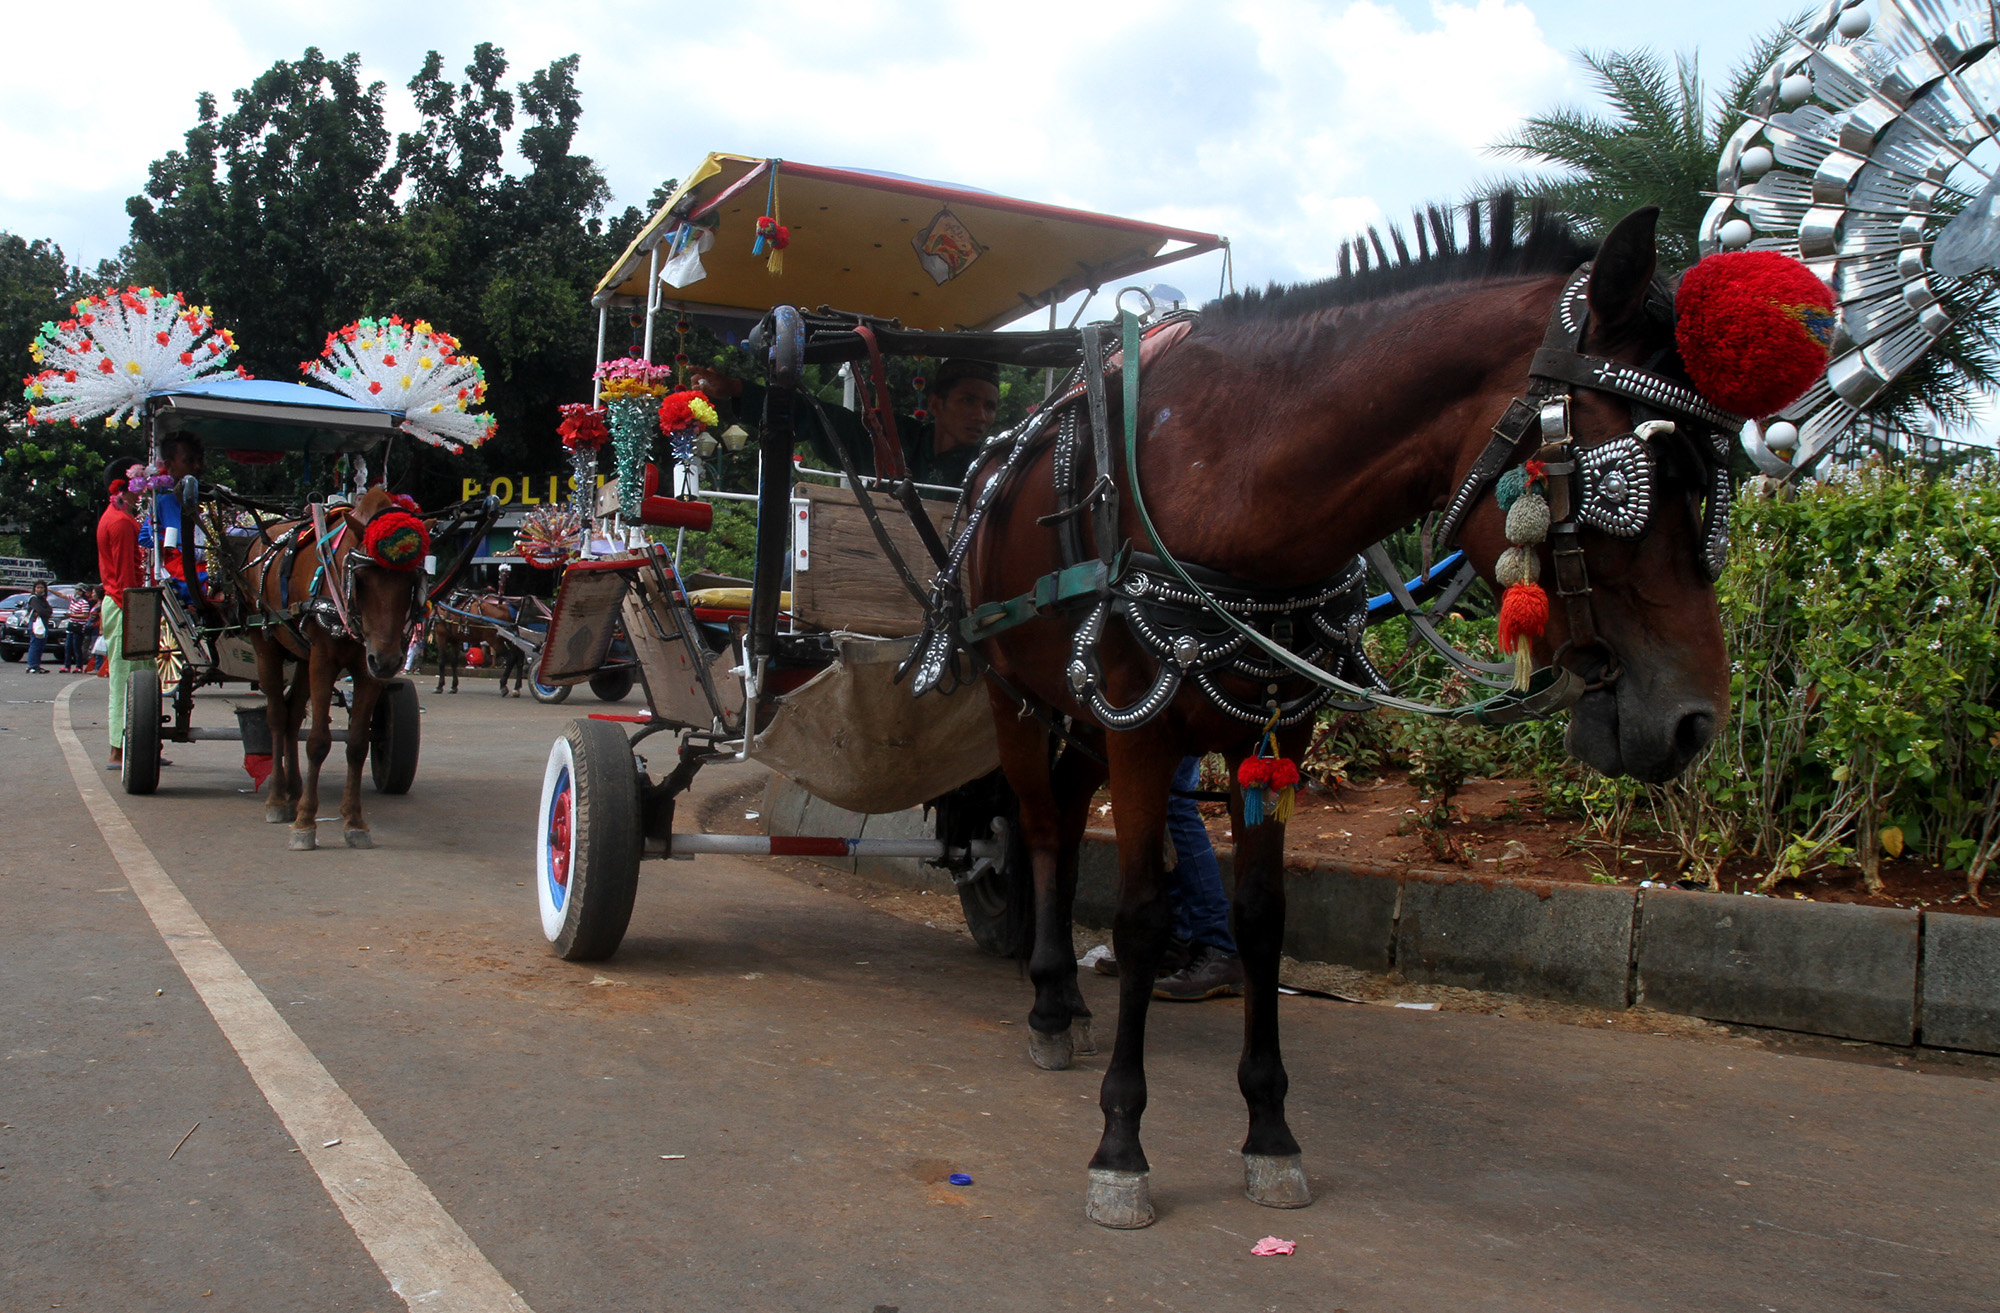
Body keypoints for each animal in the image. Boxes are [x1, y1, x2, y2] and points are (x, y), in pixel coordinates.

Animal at [235, 490, 430, 852]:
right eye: (362, 580)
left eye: (412, 581)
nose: (388, 661)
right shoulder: (324, 660)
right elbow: (318, 742)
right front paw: (305, 822)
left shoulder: (367, 668)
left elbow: (357, 744)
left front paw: (354, 820)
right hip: (266, 643)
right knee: (277, 717)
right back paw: (277, 798)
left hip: (302, 656)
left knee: (293, 715)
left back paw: (295, 789)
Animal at [960, 200, 1728, 1224]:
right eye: (1624, 483)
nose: (1695, 720)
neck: (1229, 470)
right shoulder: (1147, 729)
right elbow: (1141, 917)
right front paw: (1121, 1145)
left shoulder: (1279, 728)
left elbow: (1262, 918)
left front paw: (1269, 1132)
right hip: (1012, 687)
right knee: (1042, 828)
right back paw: (1048, 1001)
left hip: (1085, 714)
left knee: (1067, 804)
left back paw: (1073, 1006)